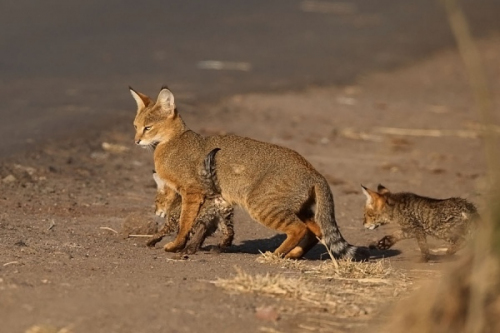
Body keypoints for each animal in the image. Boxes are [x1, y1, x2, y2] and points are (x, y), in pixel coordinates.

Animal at [131, 85, 370, 260]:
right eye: (135, 125)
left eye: (148, 127)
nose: (136, 140)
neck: (172, 143)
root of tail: (314, 171)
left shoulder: (192, 192)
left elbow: (184, 222)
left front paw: (175, 245)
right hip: (297, 208)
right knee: (315, 231)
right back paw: (292, 254)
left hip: (263, 205)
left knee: (299, 229)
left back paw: (275, 254)